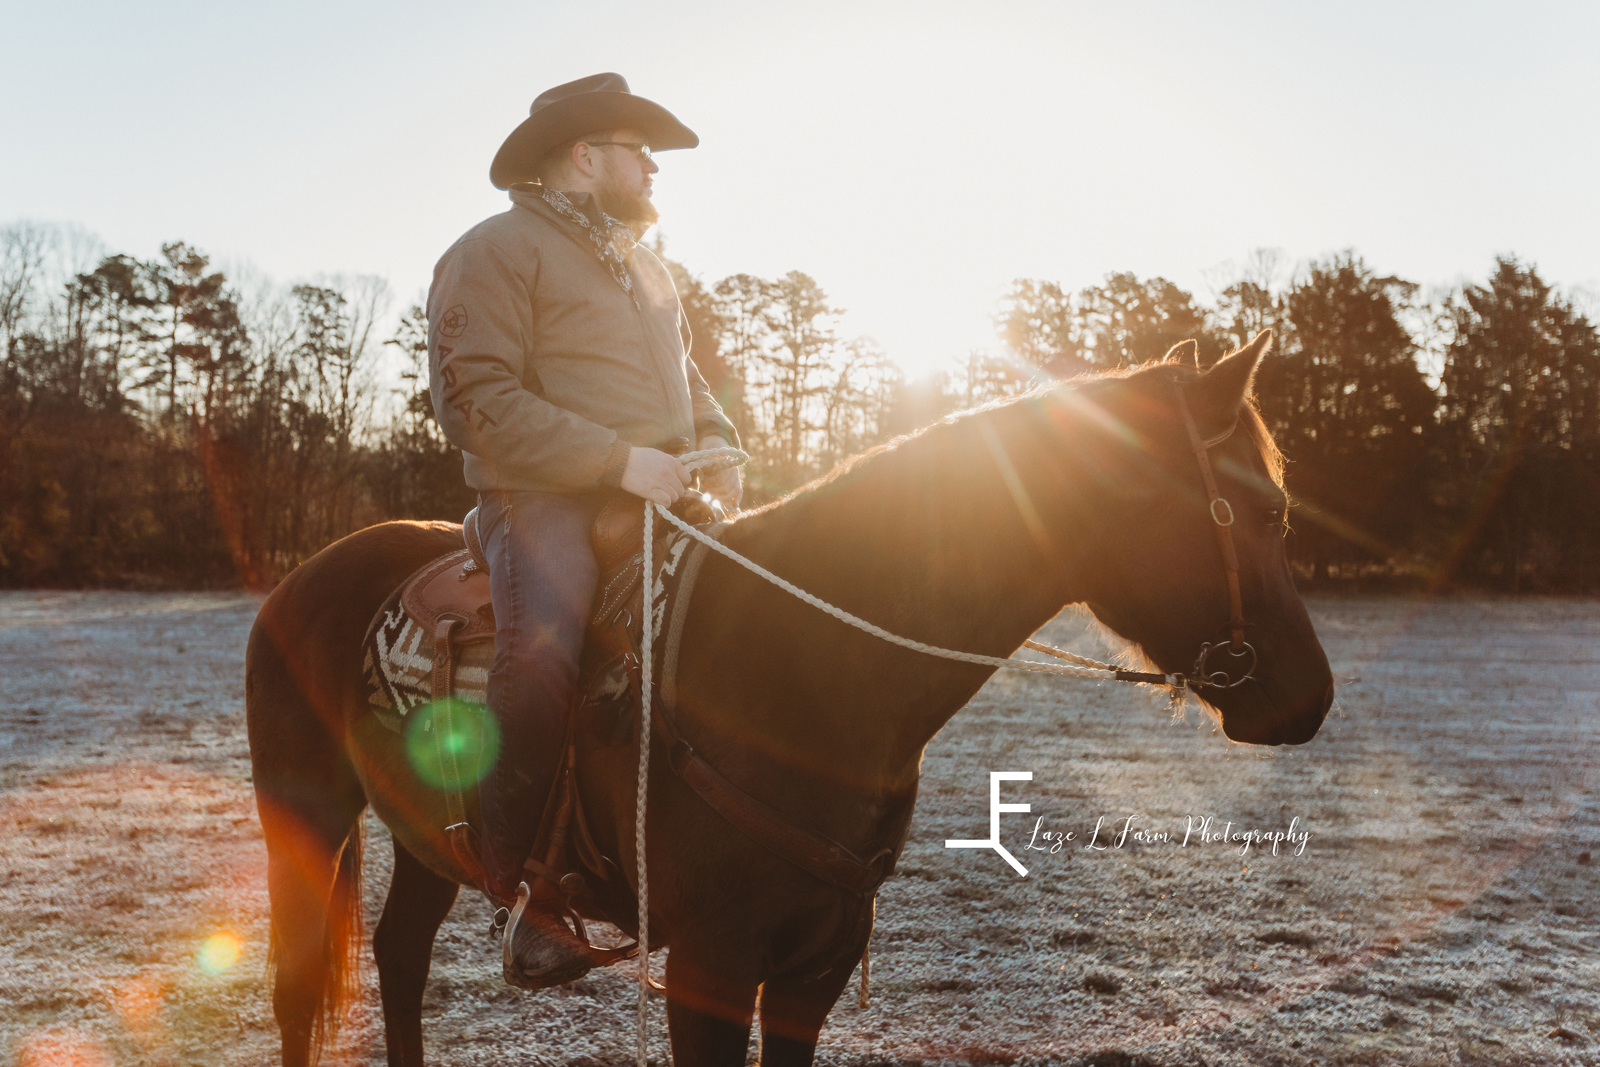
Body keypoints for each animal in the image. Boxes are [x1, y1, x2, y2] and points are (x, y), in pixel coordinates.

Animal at [243, 334, 1331, 1067]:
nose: (1313, 698)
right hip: (304, 814)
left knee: (398, 956)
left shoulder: (812, 966)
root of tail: (304, 577)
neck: (805, 666)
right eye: (1267, 508)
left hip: (429, 833)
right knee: (300, 985)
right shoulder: (710, 968)